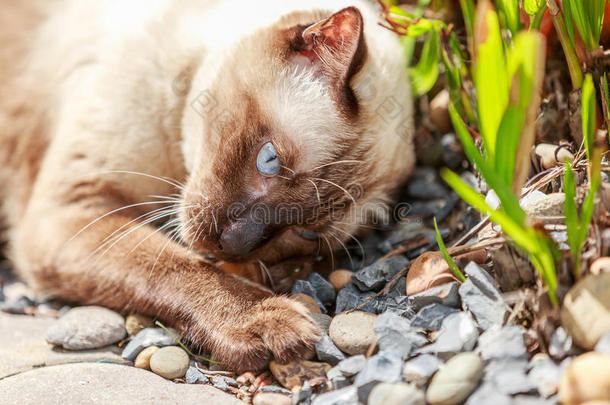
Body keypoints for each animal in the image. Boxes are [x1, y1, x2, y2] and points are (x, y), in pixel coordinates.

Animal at [0, 0, 414, 370]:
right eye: (269, 159)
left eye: (306, 233)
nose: (232, 243)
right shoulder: (72, 210)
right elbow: (178, 266)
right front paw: (262, 317)